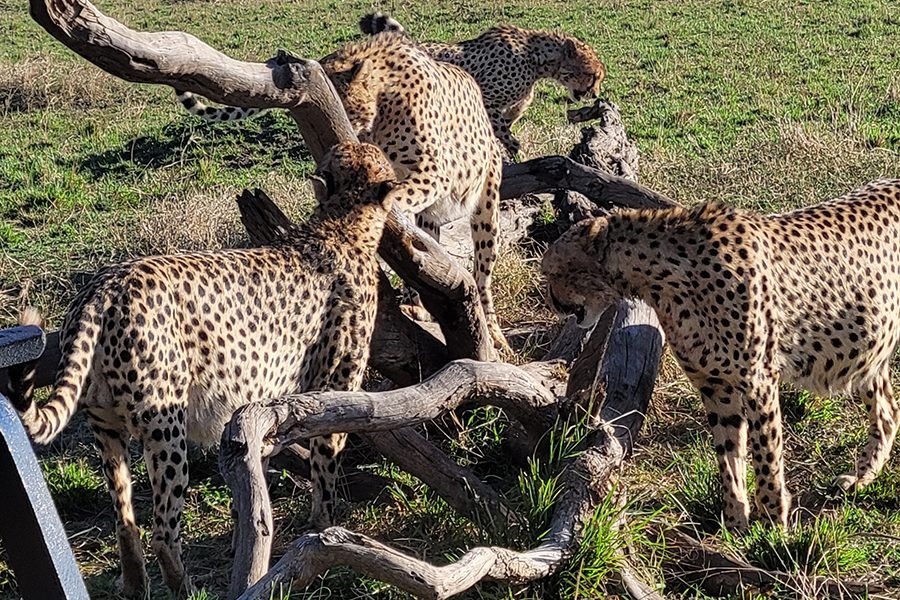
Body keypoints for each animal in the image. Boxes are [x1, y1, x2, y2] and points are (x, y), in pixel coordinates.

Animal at [4, 142, 394, 596]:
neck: (339, 224)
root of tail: (105, 285)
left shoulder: (256, 414)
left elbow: (251, 482)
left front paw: (244, 537)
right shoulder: (331, 390)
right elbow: (325, 471)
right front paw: (323, 530)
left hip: (106, 427)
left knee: (125, 519)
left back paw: (135, 585)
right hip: (165, 425)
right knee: (162, 530)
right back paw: (186, 588)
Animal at [356, 13, 604, 158]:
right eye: (593, 75)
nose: (595, 94)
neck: (536, 59)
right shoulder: (486, 99)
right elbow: (510, 139)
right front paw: (517, 157)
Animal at [540, 179, 900, 528]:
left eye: (551, 272)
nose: (552, 302)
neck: (661, 277)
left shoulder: (758, 380)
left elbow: (765, 453)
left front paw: (772, 524)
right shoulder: (715, 385)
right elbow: (728, 453)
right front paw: (735, 520)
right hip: (872, 350)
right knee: (888, 412)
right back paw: (862, 478)